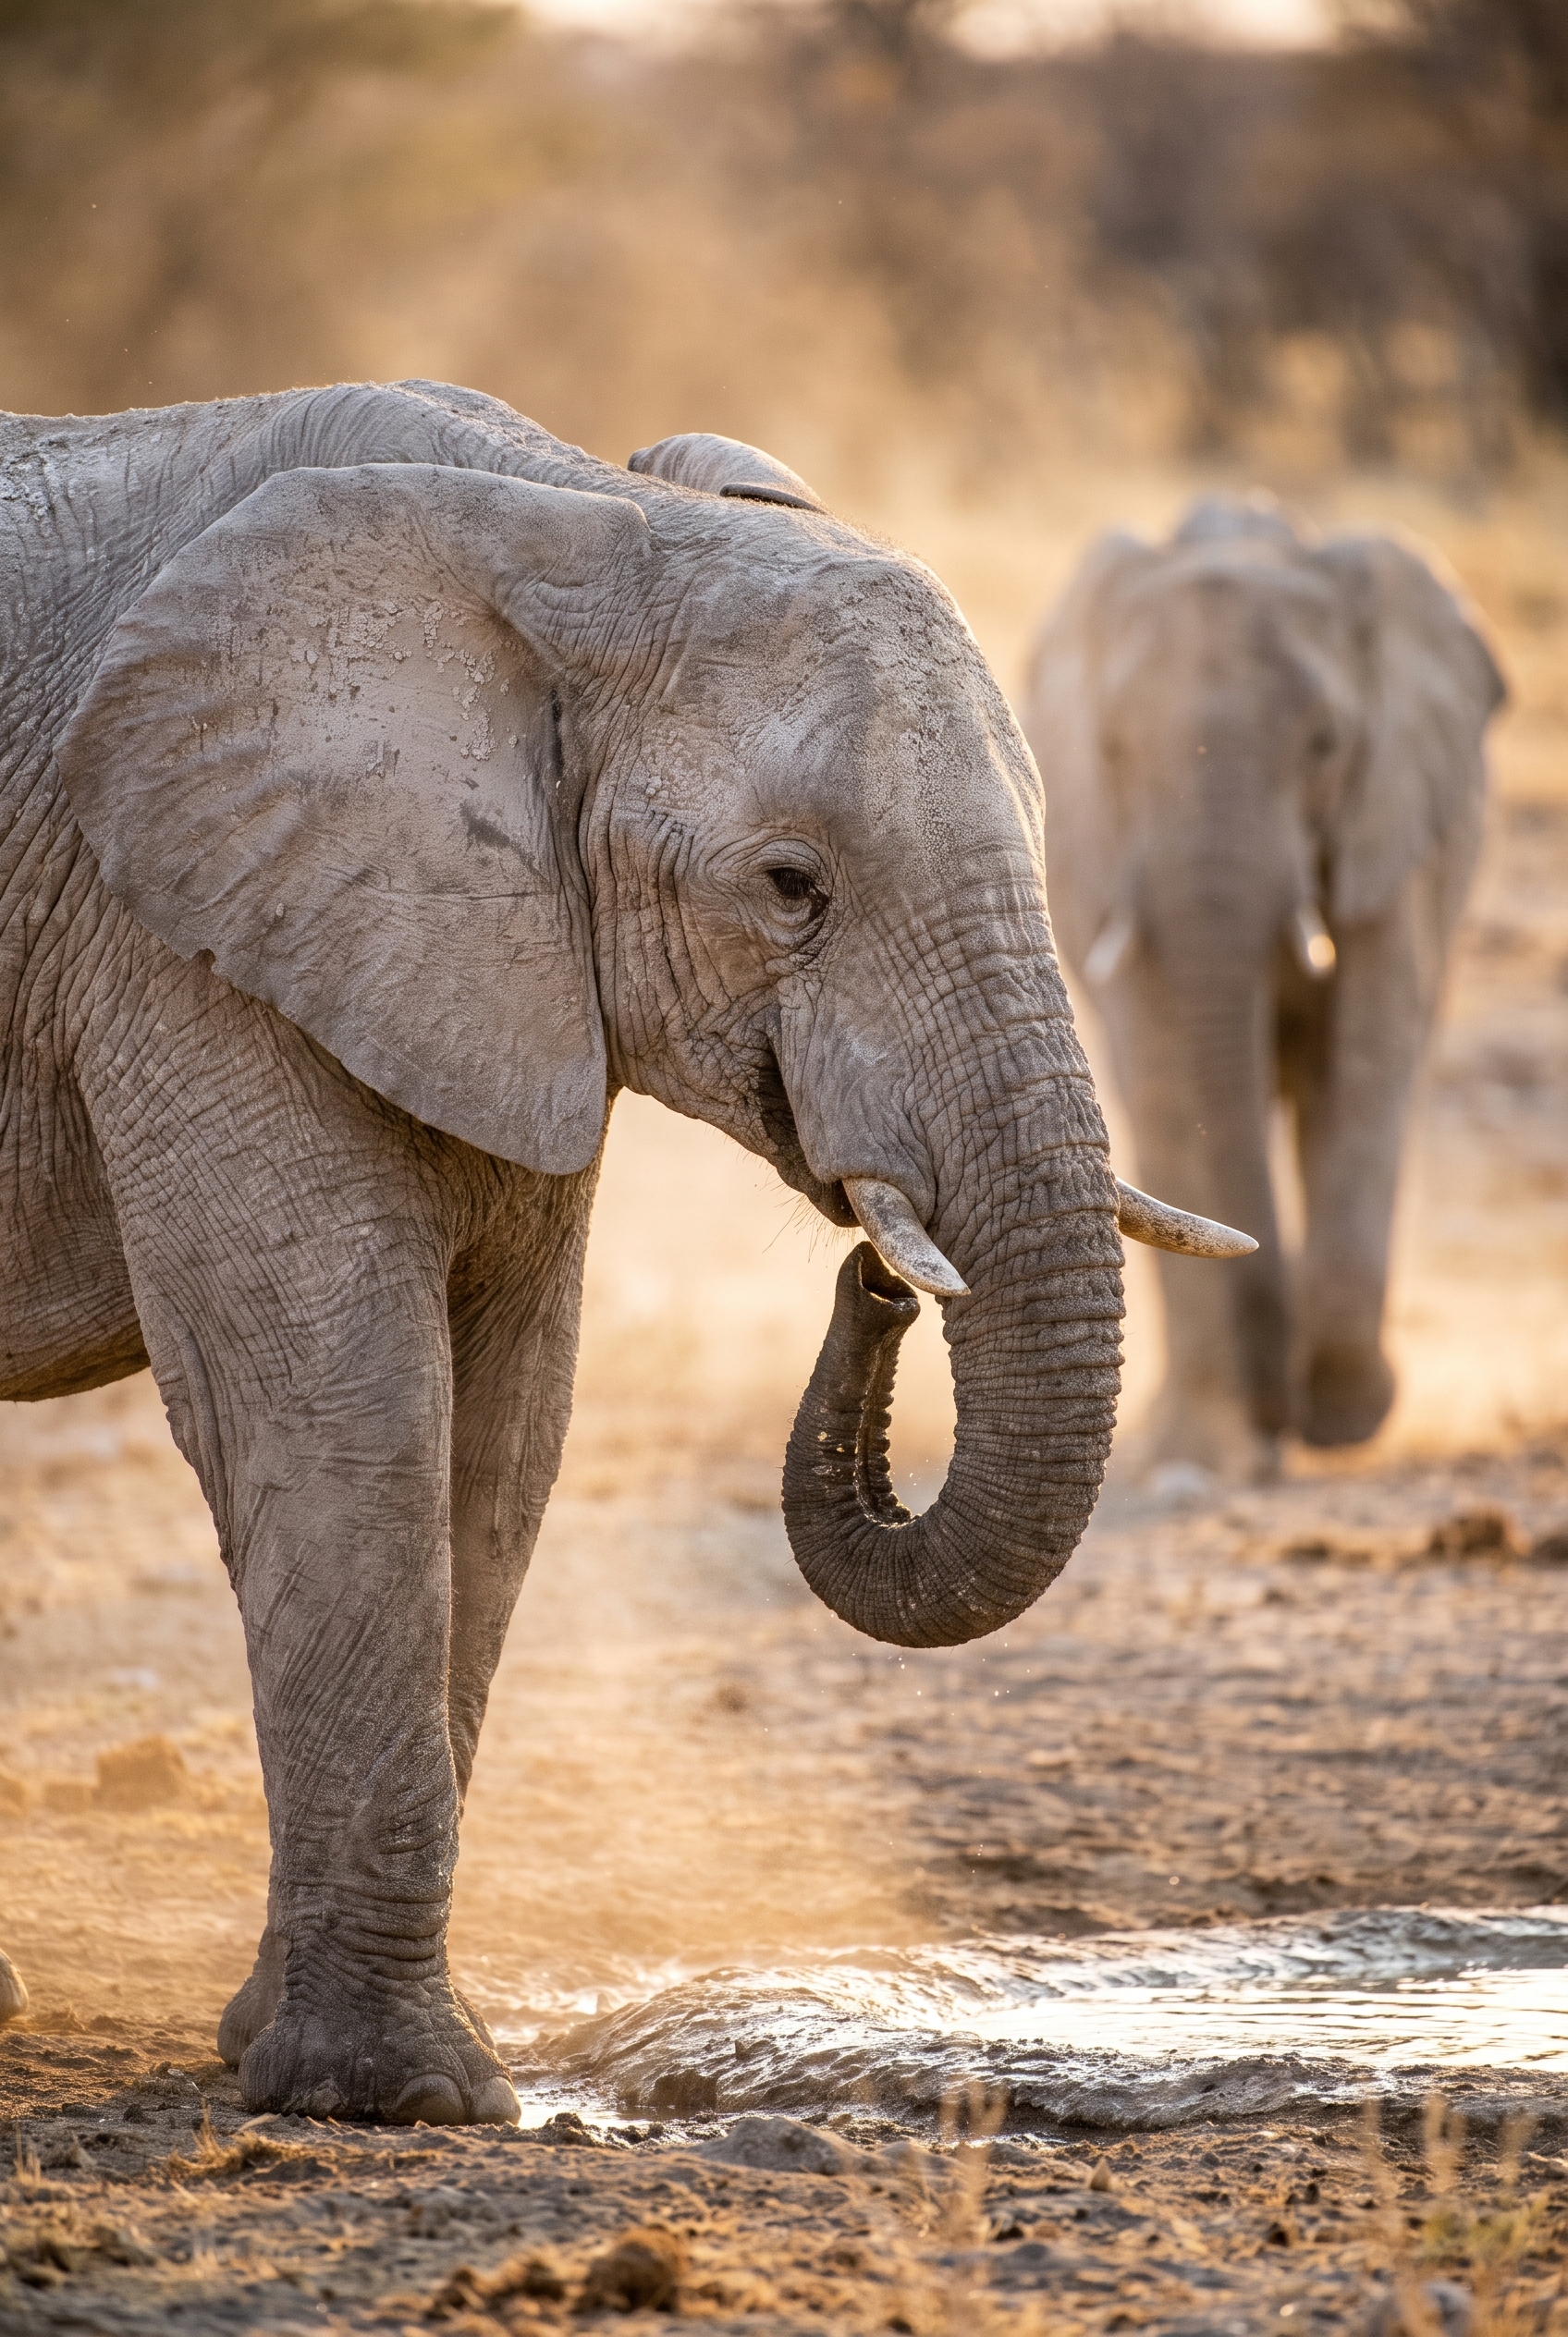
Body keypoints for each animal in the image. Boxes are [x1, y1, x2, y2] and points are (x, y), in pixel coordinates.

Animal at [0, 379, 1241, 2114]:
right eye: (789, 886)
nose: (880, 1274)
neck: (571, 518)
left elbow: (507, 1434)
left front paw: (297, 2056)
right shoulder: (175, 928)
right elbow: (337, 1405)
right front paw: (395, 2097)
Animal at [1025, 493, 1505, 1480]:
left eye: (1325, 746)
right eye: (1115, 750)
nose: (1281, 1412)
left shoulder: (1394, 827)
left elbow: (1363, 1058)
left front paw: (1343, 1413)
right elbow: (1164, 1068)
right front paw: (1212, 1439)